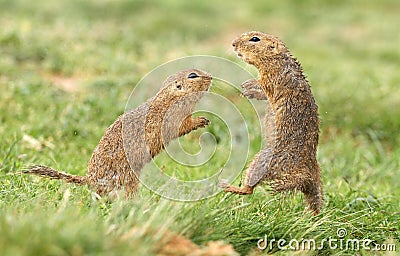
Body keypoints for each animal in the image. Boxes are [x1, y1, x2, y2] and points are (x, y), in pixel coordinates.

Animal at [25, 68, 212, 198]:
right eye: (193, 76)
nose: (211, 77)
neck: (171, 97)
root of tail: (89, 180)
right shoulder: (175, 117)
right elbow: (184, 126)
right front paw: (202, 120)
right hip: (128, 179)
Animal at [220, 31, 324, 215]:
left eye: (255, 39)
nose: (233, 44)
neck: (279, 58)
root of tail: (307, 174)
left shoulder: (272, 77)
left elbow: (263, 86)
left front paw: (247, 86)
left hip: (263, 160)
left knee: (249, 189)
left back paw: (228, 186)